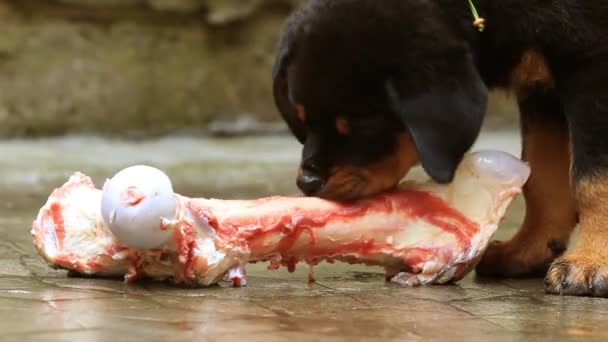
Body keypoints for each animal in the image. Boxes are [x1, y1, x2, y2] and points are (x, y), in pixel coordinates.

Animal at [274, 0, 608, 296]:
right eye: (302, 119)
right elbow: (543, 181)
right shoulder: (540, 87)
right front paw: (529, 249)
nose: (307, 182)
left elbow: (592, 179)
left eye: (361, 125)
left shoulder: (591, 65)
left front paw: (592, 262)